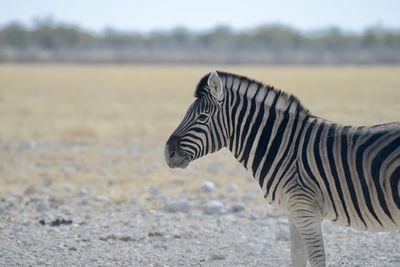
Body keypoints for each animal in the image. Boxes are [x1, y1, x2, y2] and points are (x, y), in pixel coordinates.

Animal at [163, 71, 400, 267]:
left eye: (202, 117)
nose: (167, 153)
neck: (283, 146)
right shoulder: (295, 211)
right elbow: (297, 258)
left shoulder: (305, 209)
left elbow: (317, 259)